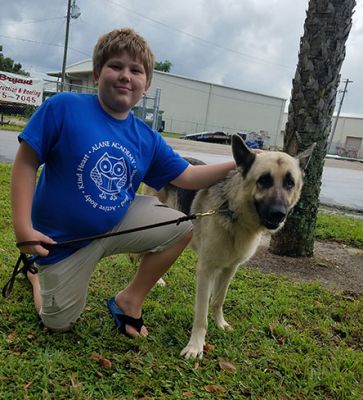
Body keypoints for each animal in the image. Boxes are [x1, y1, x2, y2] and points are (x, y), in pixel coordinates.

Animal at [142, 135, 316, 360]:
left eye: (289, 183)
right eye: (263, 180)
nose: (279, 214)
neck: (234, 213)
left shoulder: (229, 269)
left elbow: (218, 299)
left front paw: (220, 324)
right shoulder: (206, 270)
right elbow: (201, 315)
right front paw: (196, 346)